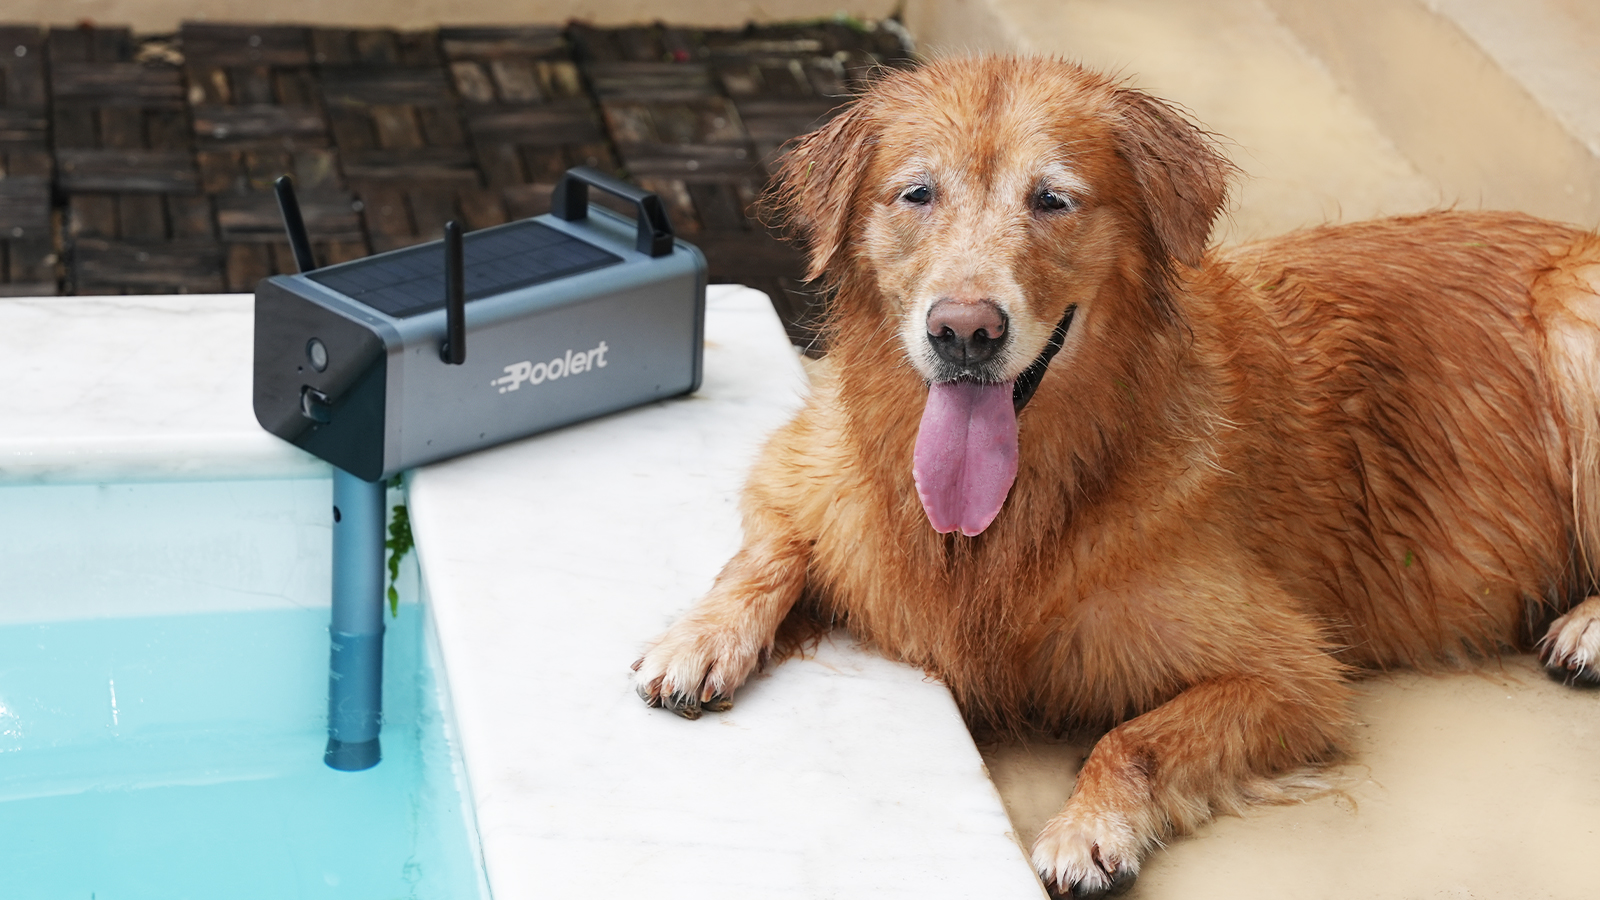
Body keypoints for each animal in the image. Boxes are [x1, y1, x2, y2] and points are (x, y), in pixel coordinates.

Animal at [632, 56, 1600, 897]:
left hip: (1577, 319)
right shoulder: (806, 467)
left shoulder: (1291, 677)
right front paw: (699, 638)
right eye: (917, 192)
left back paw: (1585, 628)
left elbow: (1133, 738)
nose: (964, 332)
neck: (1016, 510)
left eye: (1053, 199)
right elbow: (769, 547)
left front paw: (1090, 828)